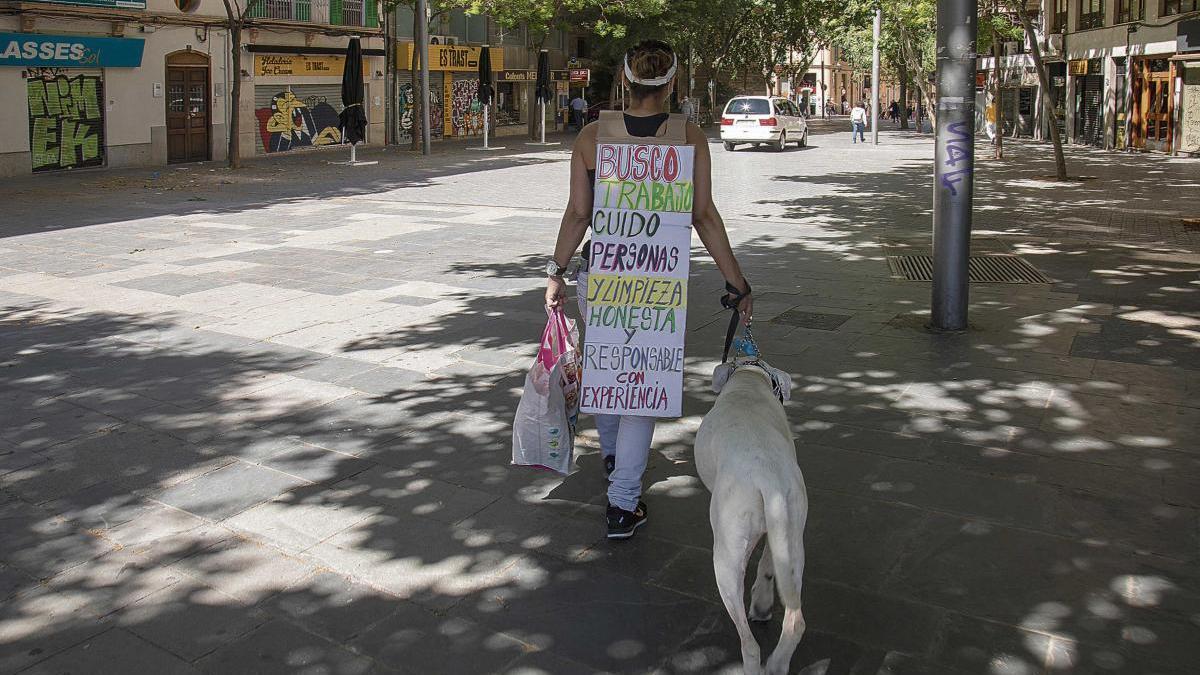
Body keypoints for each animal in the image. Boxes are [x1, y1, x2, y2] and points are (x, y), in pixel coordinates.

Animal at [696, 360, 806, 667]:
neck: (749, 379)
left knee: (750, 643)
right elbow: (768, 564)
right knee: (795, 621)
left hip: (726, 557)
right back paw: (777, 664)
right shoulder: (776, 532)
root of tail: (767, 477)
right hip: (792, 537)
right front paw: (762, 603)